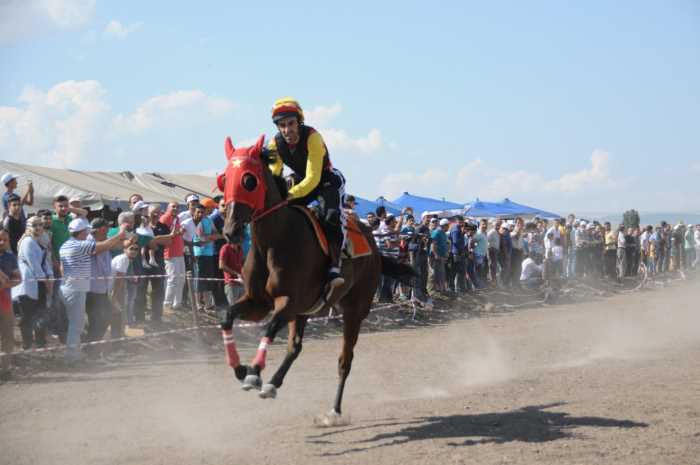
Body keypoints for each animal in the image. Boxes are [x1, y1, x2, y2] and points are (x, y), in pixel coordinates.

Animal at [219, 134, 416, 420]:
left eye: (248, 180)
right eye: (224, 179)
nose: (230, 231)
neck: (274, 240)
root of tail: (374, 245)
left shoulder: (289, 302)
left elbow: (270, 326)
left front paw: (254, 372)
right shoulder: (258, 302)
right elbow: (227, 317)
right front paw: (240, 368)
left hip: (354, 310)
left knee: (345, 360)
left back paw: (334, 410)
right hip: (306, 312)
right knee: (295, 347)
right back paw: (273, 383)